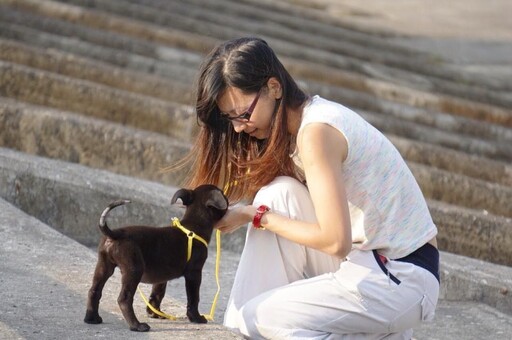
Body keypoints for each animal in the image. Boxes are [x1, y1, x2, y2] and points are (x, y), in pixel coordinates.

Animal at [84, 186, 228, 332]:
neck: (194, 225)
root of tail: (115, 233)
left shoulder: (162, 277)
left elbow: (157, 294)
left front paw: (154, 314)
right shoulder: (194, 273)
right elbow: (194, 298)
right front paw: (197, 318)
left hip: (104, 266)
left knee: (94, 291)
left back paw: (92, 319)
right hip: (134, 270)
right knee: (124, 299)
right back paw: (137, 326)